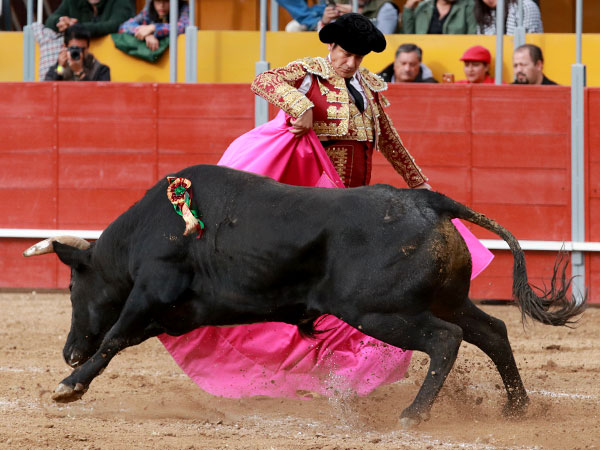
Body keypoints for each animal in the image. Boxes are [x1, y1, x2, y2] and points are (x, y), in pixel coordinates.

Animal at [23, 163, 584, 428]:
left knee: (446, 341)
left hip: (381, 311)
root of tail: (430, 201)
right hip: (443, 300)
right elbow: (121, 339)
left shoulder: (149, 296)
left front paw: (69, 385)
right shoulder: (167, 313)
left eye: (73, 285)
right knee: (492, 331)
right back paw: (517, 409)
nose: (68, 349)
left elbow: (113, 338)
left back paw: (413, 415)